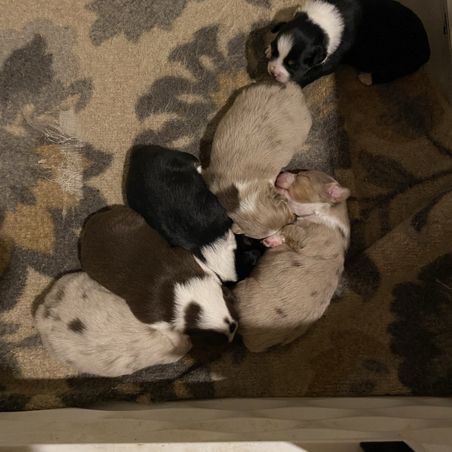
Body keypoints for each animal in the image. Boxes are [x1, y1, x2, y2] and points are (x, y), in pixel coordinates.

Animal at [79, 206, 238, 346]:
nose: (232, 341)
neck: (193, 299)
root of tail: (90, 224)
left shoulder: (186, 257)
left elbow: (205, 268)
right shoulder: (151, 317)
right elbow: (167, 328)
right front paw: (180, 340)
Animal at [234, 170, 350, 352]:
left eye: (303, 176)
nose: (282, 171)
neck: (323, 212)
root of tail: (251, 341)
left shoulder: (305, 236)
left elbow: (287, 229)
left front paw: (272, 238)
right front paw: (273, 241)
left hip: (242, 290)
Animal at [266, 0, 429, 87]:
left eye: (293, 65)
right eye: (275, 52)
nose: (273, 72)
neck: (318, 25)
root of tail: (427, 48)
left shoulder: (332, 61)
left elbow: (311, 73)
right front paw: (268, 49)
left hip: (403, 61)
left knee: (393, 73)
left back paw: (366, 78)